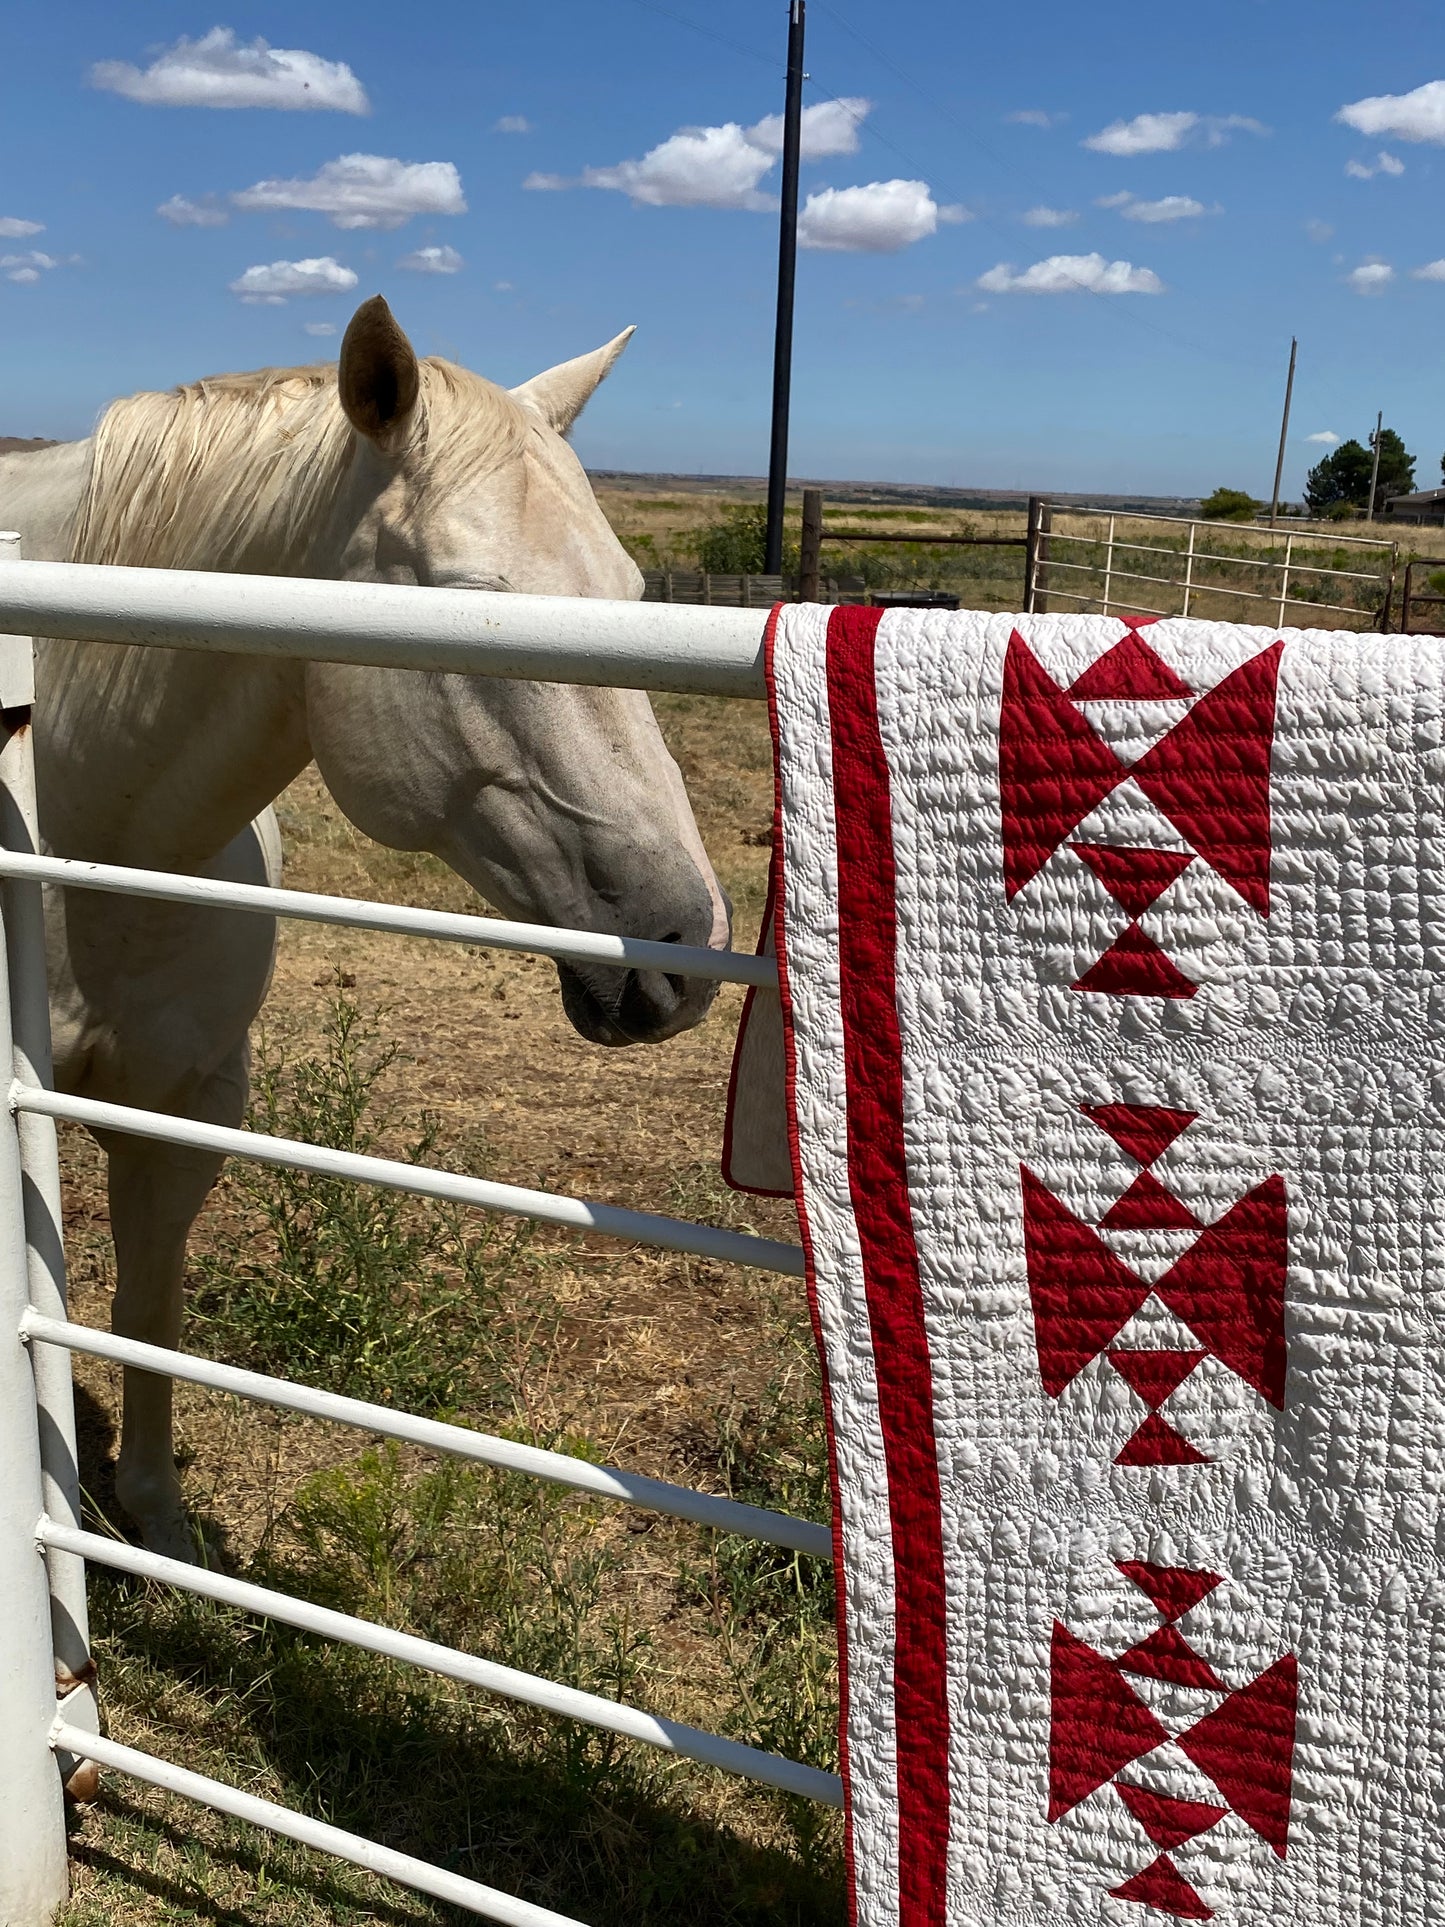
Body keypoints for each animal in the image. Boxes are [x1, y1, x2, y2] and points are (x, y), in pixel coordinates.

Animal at [0, 304, 724, 1564]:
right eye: (469, 612)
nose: (679, 947)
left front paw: (156, 1518)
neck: (85, 821)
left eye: (628, 593)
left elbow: (148, 1306)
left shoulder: (188, 1102)